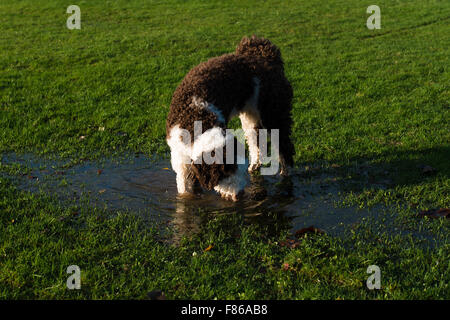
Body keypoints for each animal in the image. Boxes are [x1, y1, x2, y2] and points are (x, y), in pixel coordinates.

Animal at [167, 36, 294, 201]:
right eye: (224, 172)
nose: (239, 195)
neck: (195, 117)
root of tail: (266, 56)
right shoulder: (181, 158)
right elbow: (186, 187)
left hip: (274, 112)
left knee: (284, 145)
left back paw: (285, 174)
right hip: (250, 117)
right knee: (256, 141)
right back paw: (255, 165)